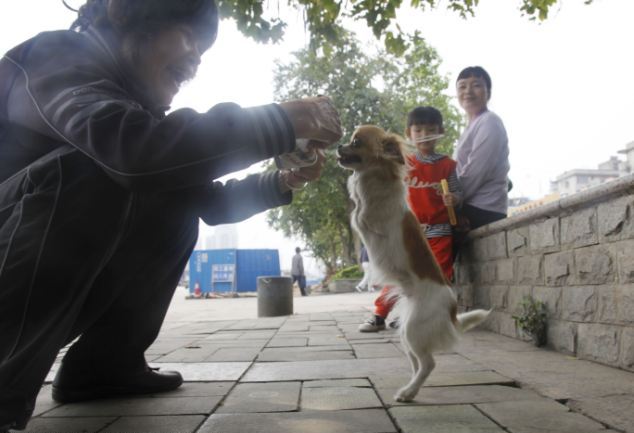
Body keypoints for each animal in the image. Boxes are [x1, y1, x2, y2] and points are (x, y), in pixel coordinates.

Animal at [336, 125, 488, 402]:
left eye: (356, 142)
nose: (339, 145)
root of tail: (452, 312)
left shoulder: (367, 221)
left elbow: (358, 215)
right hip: (407, 330)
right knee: (417, 361)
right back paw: (410, 387)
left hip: (414, 328)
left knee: (428, 363)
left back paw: (408, 392)